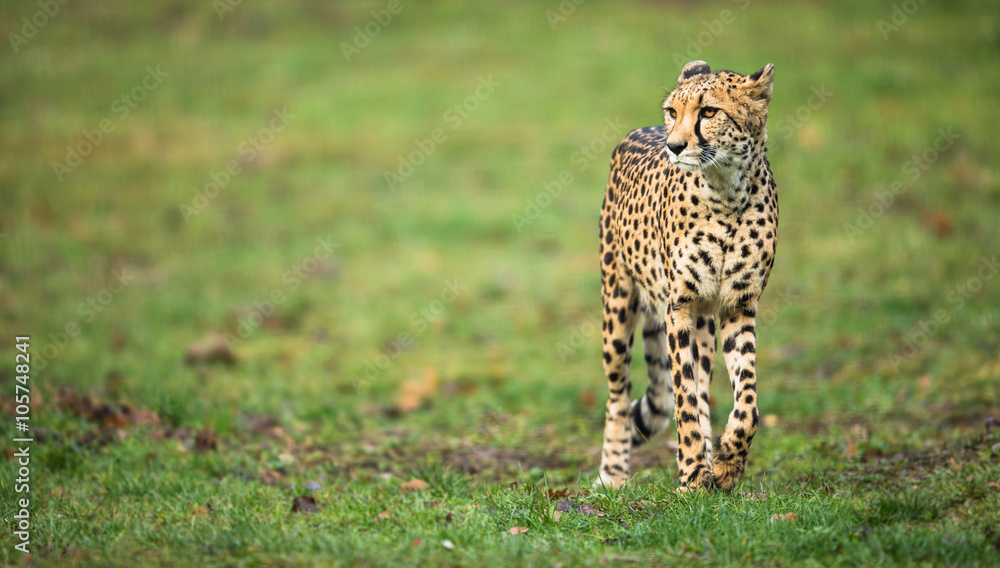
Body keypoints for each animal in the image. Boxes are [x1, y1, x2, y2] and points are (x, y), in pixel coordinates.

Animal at [597, 60, 778, 491]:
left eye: (709, 112)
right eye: (672, 111)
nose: (674, 146)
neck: (727, 193)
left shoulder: (738, 306)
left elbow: (747, 400)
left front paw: (727, 463)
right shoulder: (678, 307)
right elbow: (683, 396)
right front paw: (693, 474)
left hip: (705, 324)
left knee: (702, 385)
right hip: (617, 305)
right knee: (618, 396)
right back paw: (613, 473)